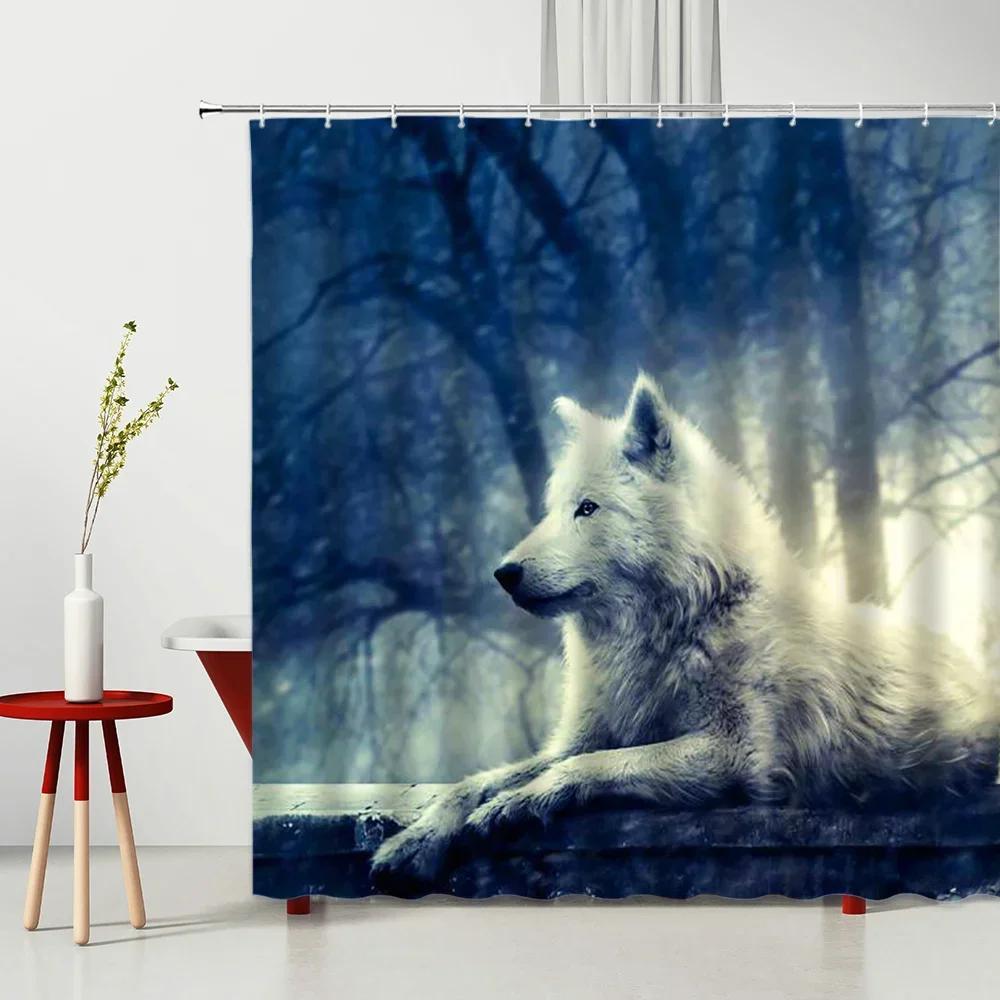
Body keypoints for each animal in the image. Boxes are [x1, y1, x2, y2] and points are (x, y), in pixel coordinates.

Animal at [371, 372, 998, 885]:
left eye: (588, 509)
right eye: (553, 510)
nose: (504, 573)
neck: (678, 624)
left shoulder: (738, 754)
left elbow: (593, 766)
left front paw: (517, 804)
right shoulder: (587, 734)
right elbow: (475, 782)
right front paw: (417, 840)